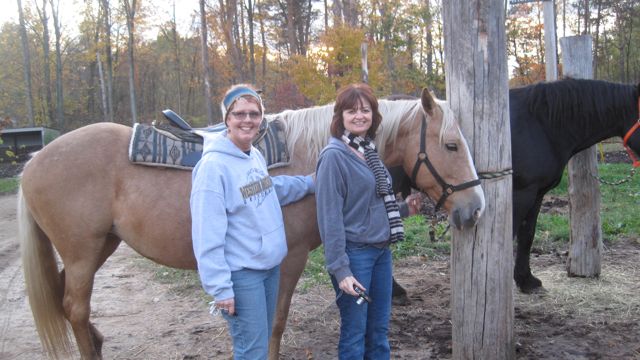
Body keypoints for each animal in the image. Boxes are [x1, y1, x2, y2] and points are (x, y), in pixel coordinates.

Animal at [17, 88, 482, 360]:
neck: (311, 154)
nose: (475, 208)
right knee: (74, 308)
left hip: (100, 247)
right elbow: (275, 321)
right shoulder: (289, 260)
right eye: (451, 145)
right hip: (82, 251)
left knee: (66, 301)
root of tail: (34, 161)